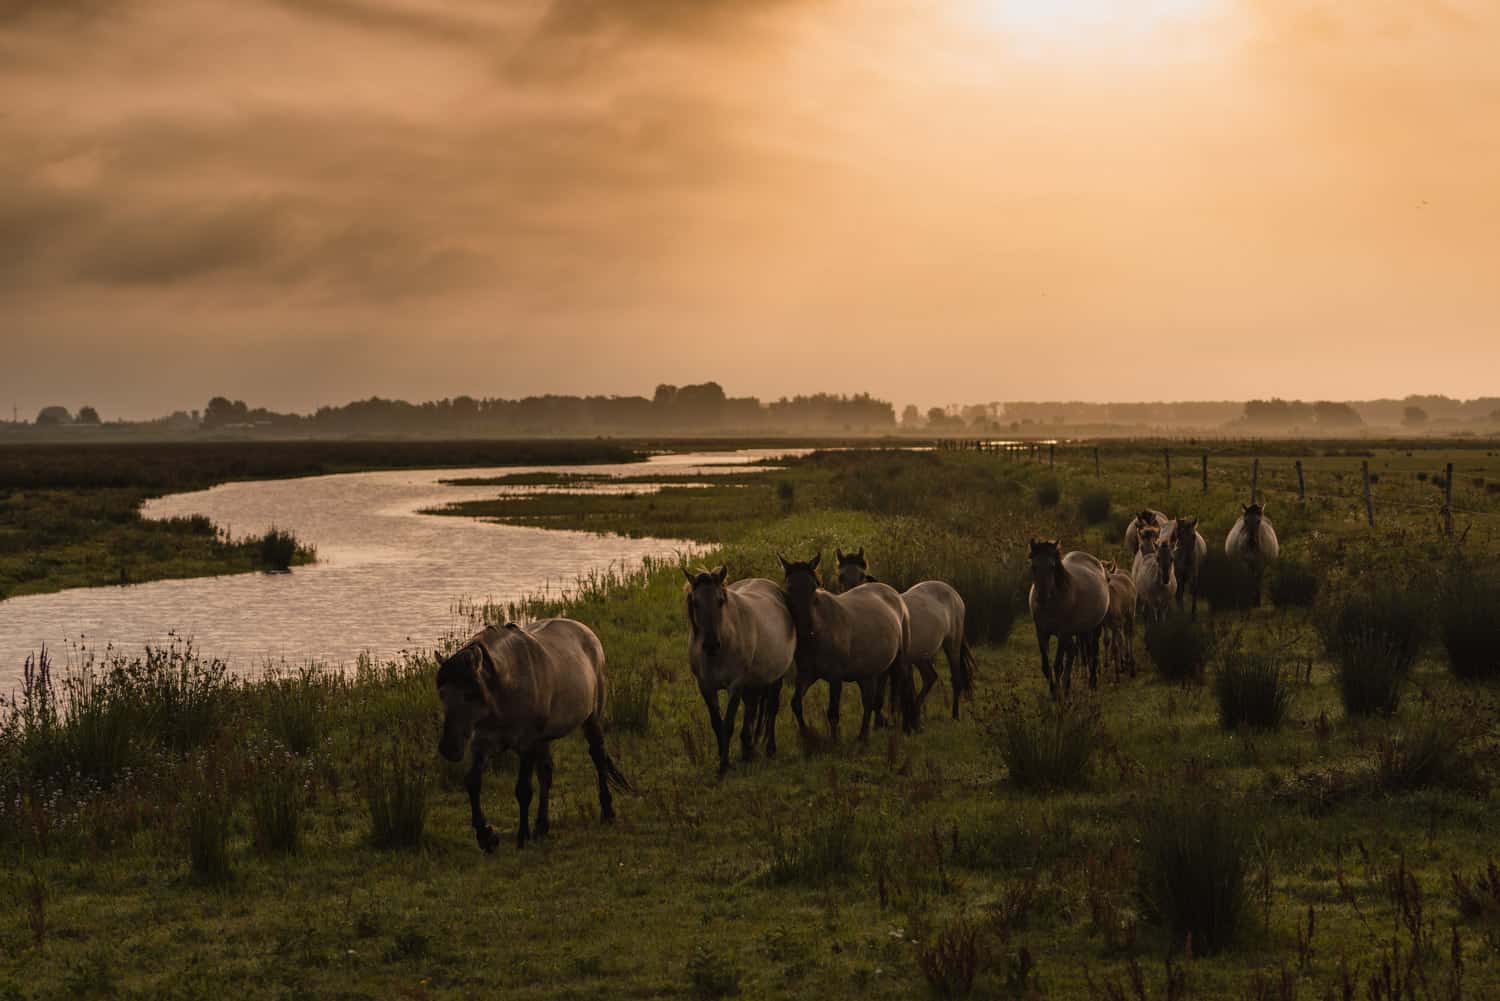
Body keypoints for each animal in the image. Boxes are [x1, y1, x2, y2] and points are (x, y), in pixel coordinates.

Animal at [436, 619, 633, 852]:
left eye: (469, 694)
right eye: (442, 694)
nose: (449, 748)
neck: (508, 684)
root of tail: (586, 631)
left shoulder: (527, 745)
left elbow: (523, 790)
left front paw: (522, 837)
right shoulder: (483, 743)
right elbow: (473, 782)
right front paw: (486, 836)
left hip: (591, 720)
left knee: (598, 758)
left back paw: (607, 812)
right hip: (544, 739)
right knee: (546, 773)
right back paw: (541, 826)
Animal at [684, 565, 797, 776]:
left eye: (720, 601)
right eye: (695, 603)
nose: (711, 644)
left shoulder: (735, 686)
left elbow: (728, 724)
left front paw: (724, 764)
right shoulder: (706, 687)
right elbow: (717, 724)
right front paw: (723, 757)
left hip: (775, 678)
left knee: (771, 708)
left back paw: (769, 748)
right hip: (752, 683)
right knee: (752, 708)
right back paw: (747, 750)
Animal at [779, 553, 917, 740]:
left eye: (813, 587)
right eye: (790, 587)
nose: (806, 627)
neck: (820, 630)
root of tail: (894, 594)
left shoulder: (835, 677)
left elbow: (832, 713)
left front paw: (834, 741)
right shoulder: (806, 675)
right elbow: (796, 704)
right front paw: (806, 735)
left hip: (899, 661)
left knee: (903, 688)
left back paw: (906, 727)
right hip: (867, 672)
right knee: (869, 701)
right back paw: (863, 736)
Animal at [835, 548, 978, 721]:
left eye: (862, 575)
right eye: (841, 576)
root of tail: (953, 593)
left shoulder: (883, 668)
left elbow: (879, 698)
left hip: (952, 645)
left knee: (956, 678)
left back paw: (954, 715)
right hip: (921, 656)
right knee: (930, 677)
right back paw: (915, 712)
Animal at [1027, 540, 1110, 697]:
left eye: (1052, 566)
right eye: (1033, 566)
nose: (1041, 597)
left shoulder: (1062, 633)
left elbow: (1058, 665)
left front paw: (1058, 694)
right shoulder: (1041, 633)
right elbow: (1046, 666)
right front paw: (1054, 692)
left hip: (1094, 627)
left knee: (1093, 651)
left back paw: (1092, 683)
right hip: (1080, 630)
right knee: (1077, 651)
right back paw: (1068, 685)